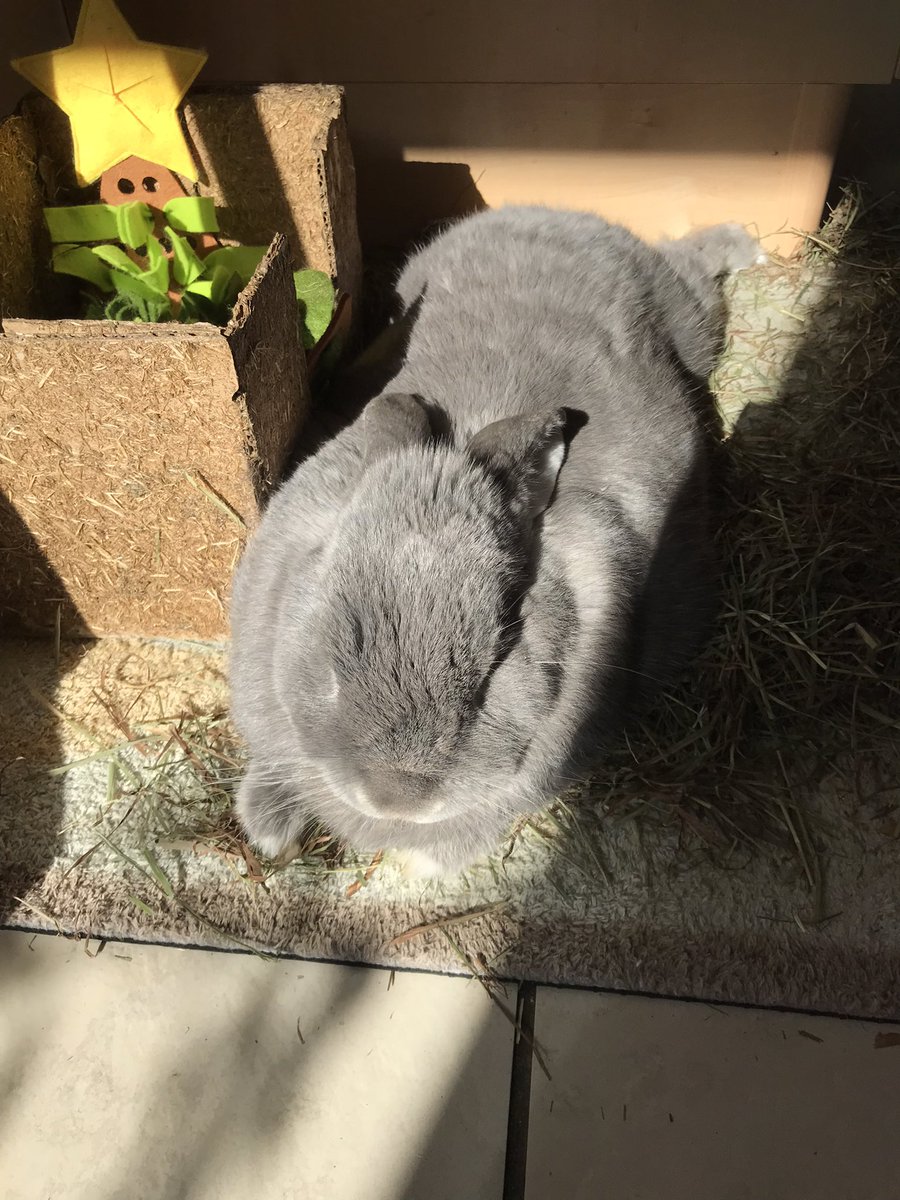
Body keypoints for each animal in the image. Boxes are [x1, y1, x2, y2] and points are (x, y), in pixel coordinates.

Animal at [226, 204, 763, 873]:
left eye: (494, 670)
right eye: (330, 669)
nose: (397, 797)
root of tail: (558, 213)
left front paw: (424, 861)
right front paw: (268, 828)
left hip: (689, 318)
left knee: (694, 266)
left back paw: (746, 243)